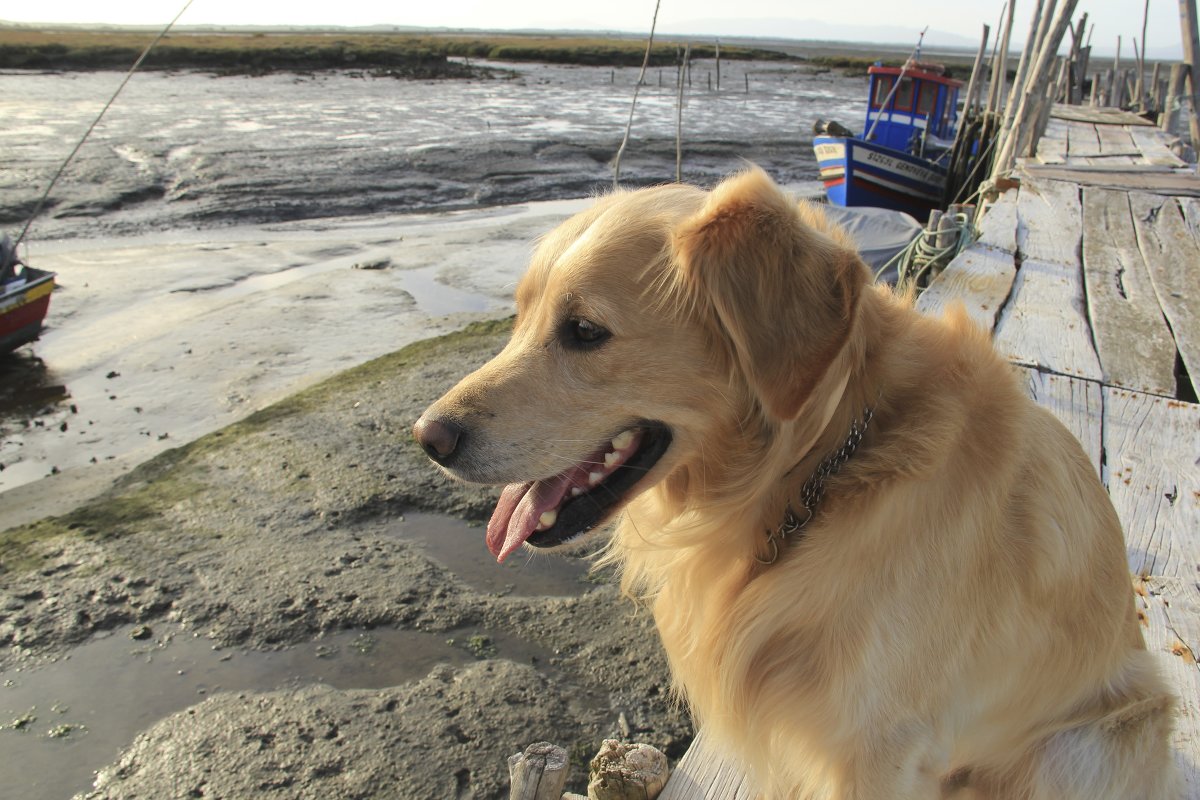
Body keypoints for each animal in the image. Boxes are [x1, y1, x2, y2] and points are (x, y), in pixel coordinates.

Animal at [410, 165, 1171, 796]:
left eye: (585, 330)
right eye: (520, 317)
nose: (427, 438)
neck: (819, 473)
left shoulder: (882, 749)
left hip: (1078, 749)